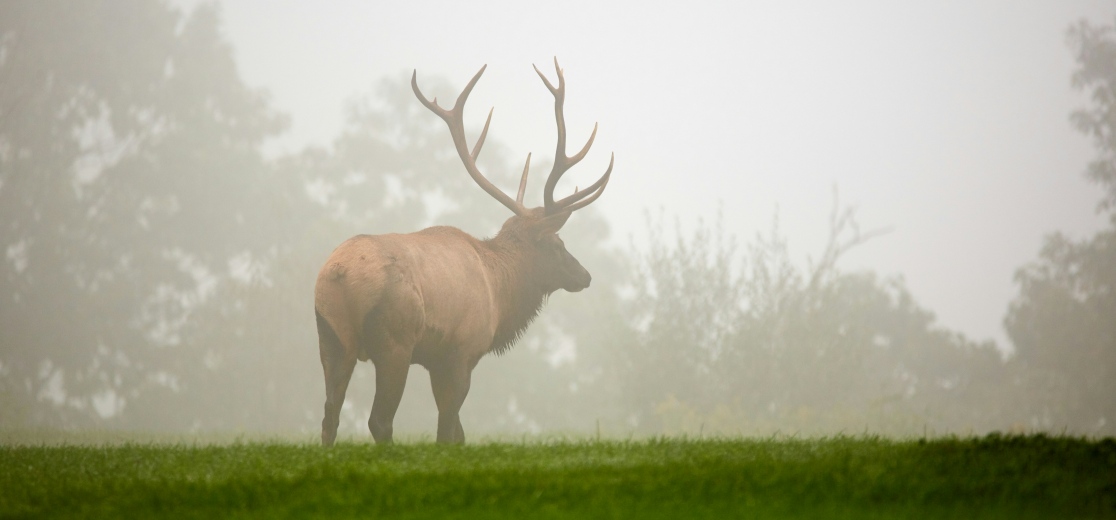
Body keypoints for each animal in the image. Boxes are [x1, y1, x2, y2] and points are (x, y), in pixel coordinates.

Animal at [312, 58, 611, 444]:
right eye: (558, 244)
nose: (585, 275)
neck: (500, 291)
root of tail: (338, 274)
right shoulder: (461, 352)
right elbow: (448, 429)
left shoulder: (437, 359)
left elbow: (459, 433)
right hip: (394, 341)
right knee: (379, 420)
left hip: (330, 336)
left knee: (329, 415)